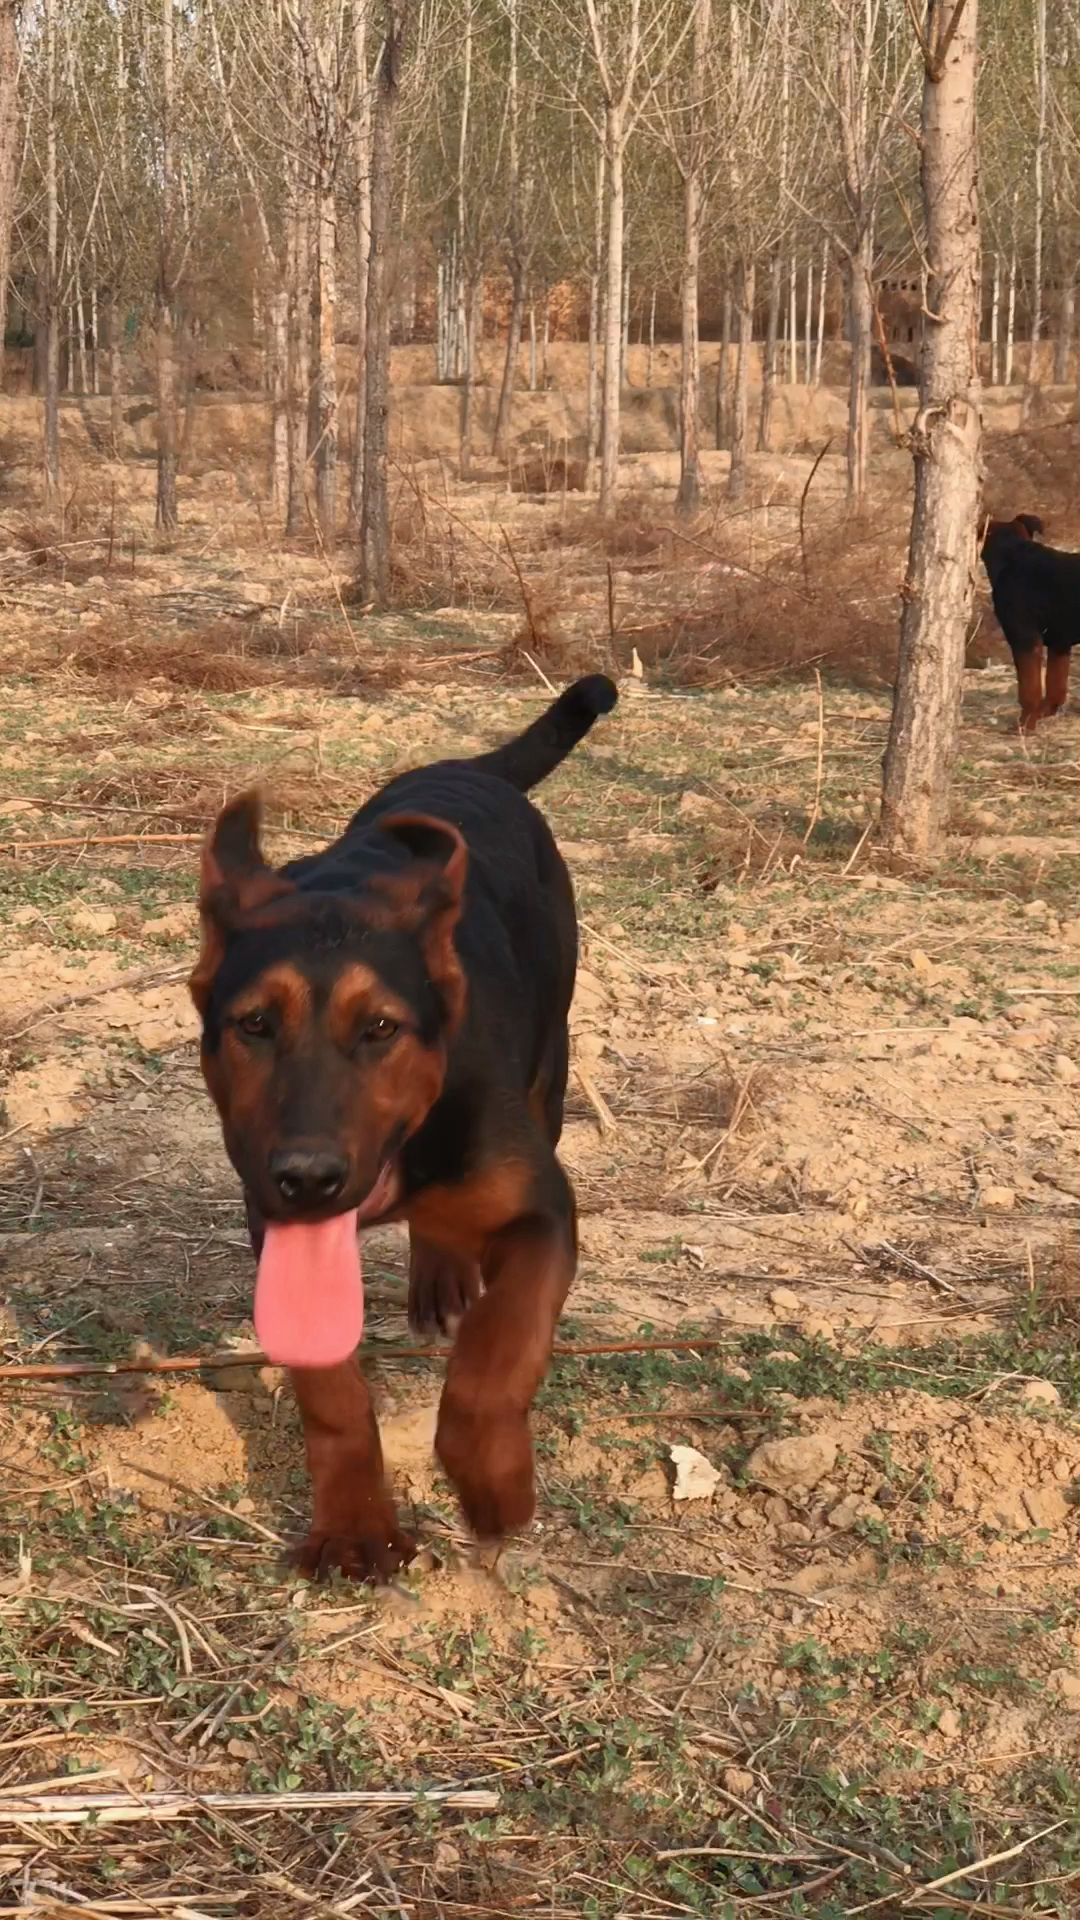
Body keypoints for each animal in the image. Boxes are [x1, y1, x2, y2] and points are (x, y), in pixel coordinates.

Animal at [190, 683, 618, 1582]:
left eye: (380, 1028)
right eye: (253, 1025)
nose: (307, 1178)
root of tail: (468, 768)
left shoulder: (543, 1212)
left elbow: (499, 1352)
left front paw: (493, 1482)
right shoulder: (281, 1238)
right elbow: (332, 1394)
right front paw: (355, 1527)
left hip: (552, 1067)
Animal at [976, 514, 1076, 729]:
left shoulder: (1024, 640)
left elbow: (1029, 688)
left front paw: (1025, 723)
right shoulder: (1059, 643)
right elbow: (1055, 684)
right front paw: (1046, 712)